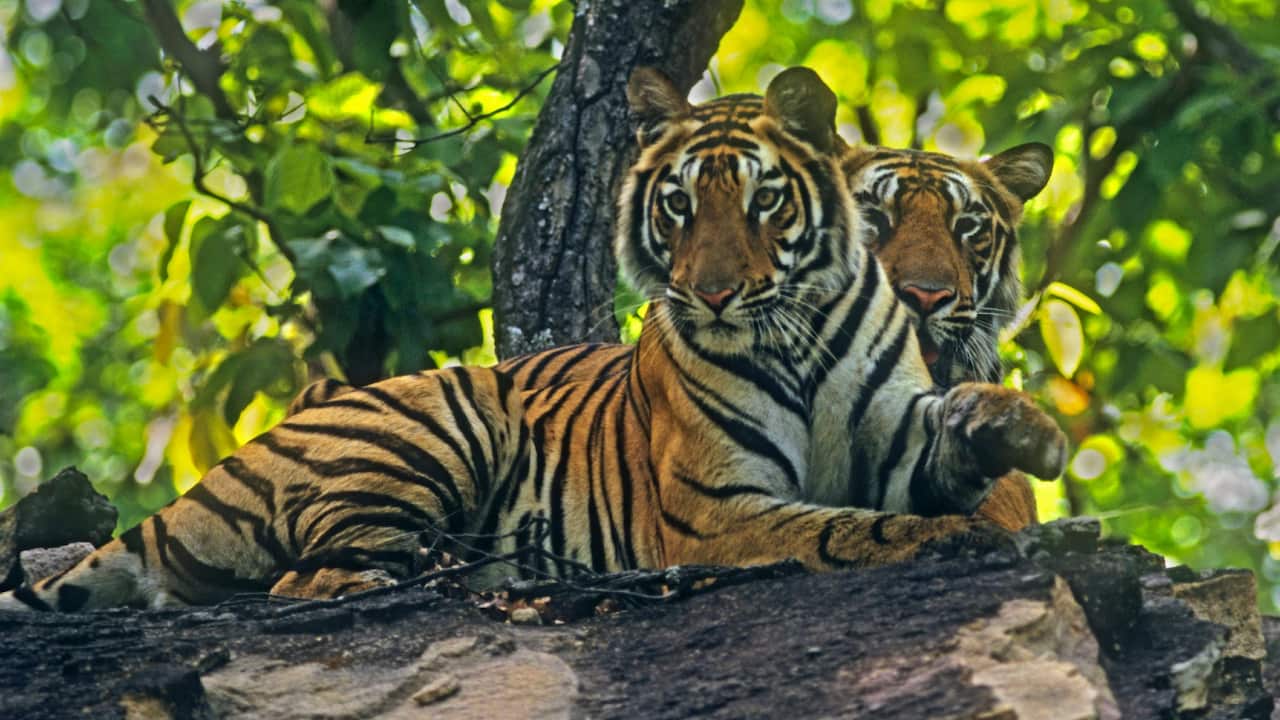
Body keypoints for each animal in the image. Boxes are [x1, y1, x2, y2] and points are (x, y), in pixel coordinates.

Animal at [0, 66, 1066, 612]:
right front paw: (952, 535)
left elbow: (962, 448)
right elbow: (853, 528)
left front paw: (1018, 429)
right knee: (307, 582)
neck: (796, 332)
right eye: (679, 207)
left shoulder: (894, 433)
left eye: (969, 229)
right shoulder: (722, 509)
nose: (927, 296)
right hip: (434, 423)